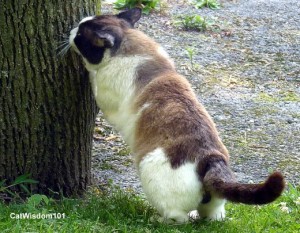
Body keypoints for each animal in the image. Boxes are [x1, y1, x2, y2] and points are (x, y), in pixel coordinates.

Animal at [69, 7, 284, 224]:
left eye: (79, 36)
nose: (71, 31)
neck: (130, 44)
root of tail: (211, 158)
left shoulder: (106, 96)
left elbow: (93, 78)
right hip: (214, 204)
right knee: (213, 215)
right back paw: (201, 215)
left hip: (151, 171)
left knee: (177, 218)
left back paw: (157, 220)